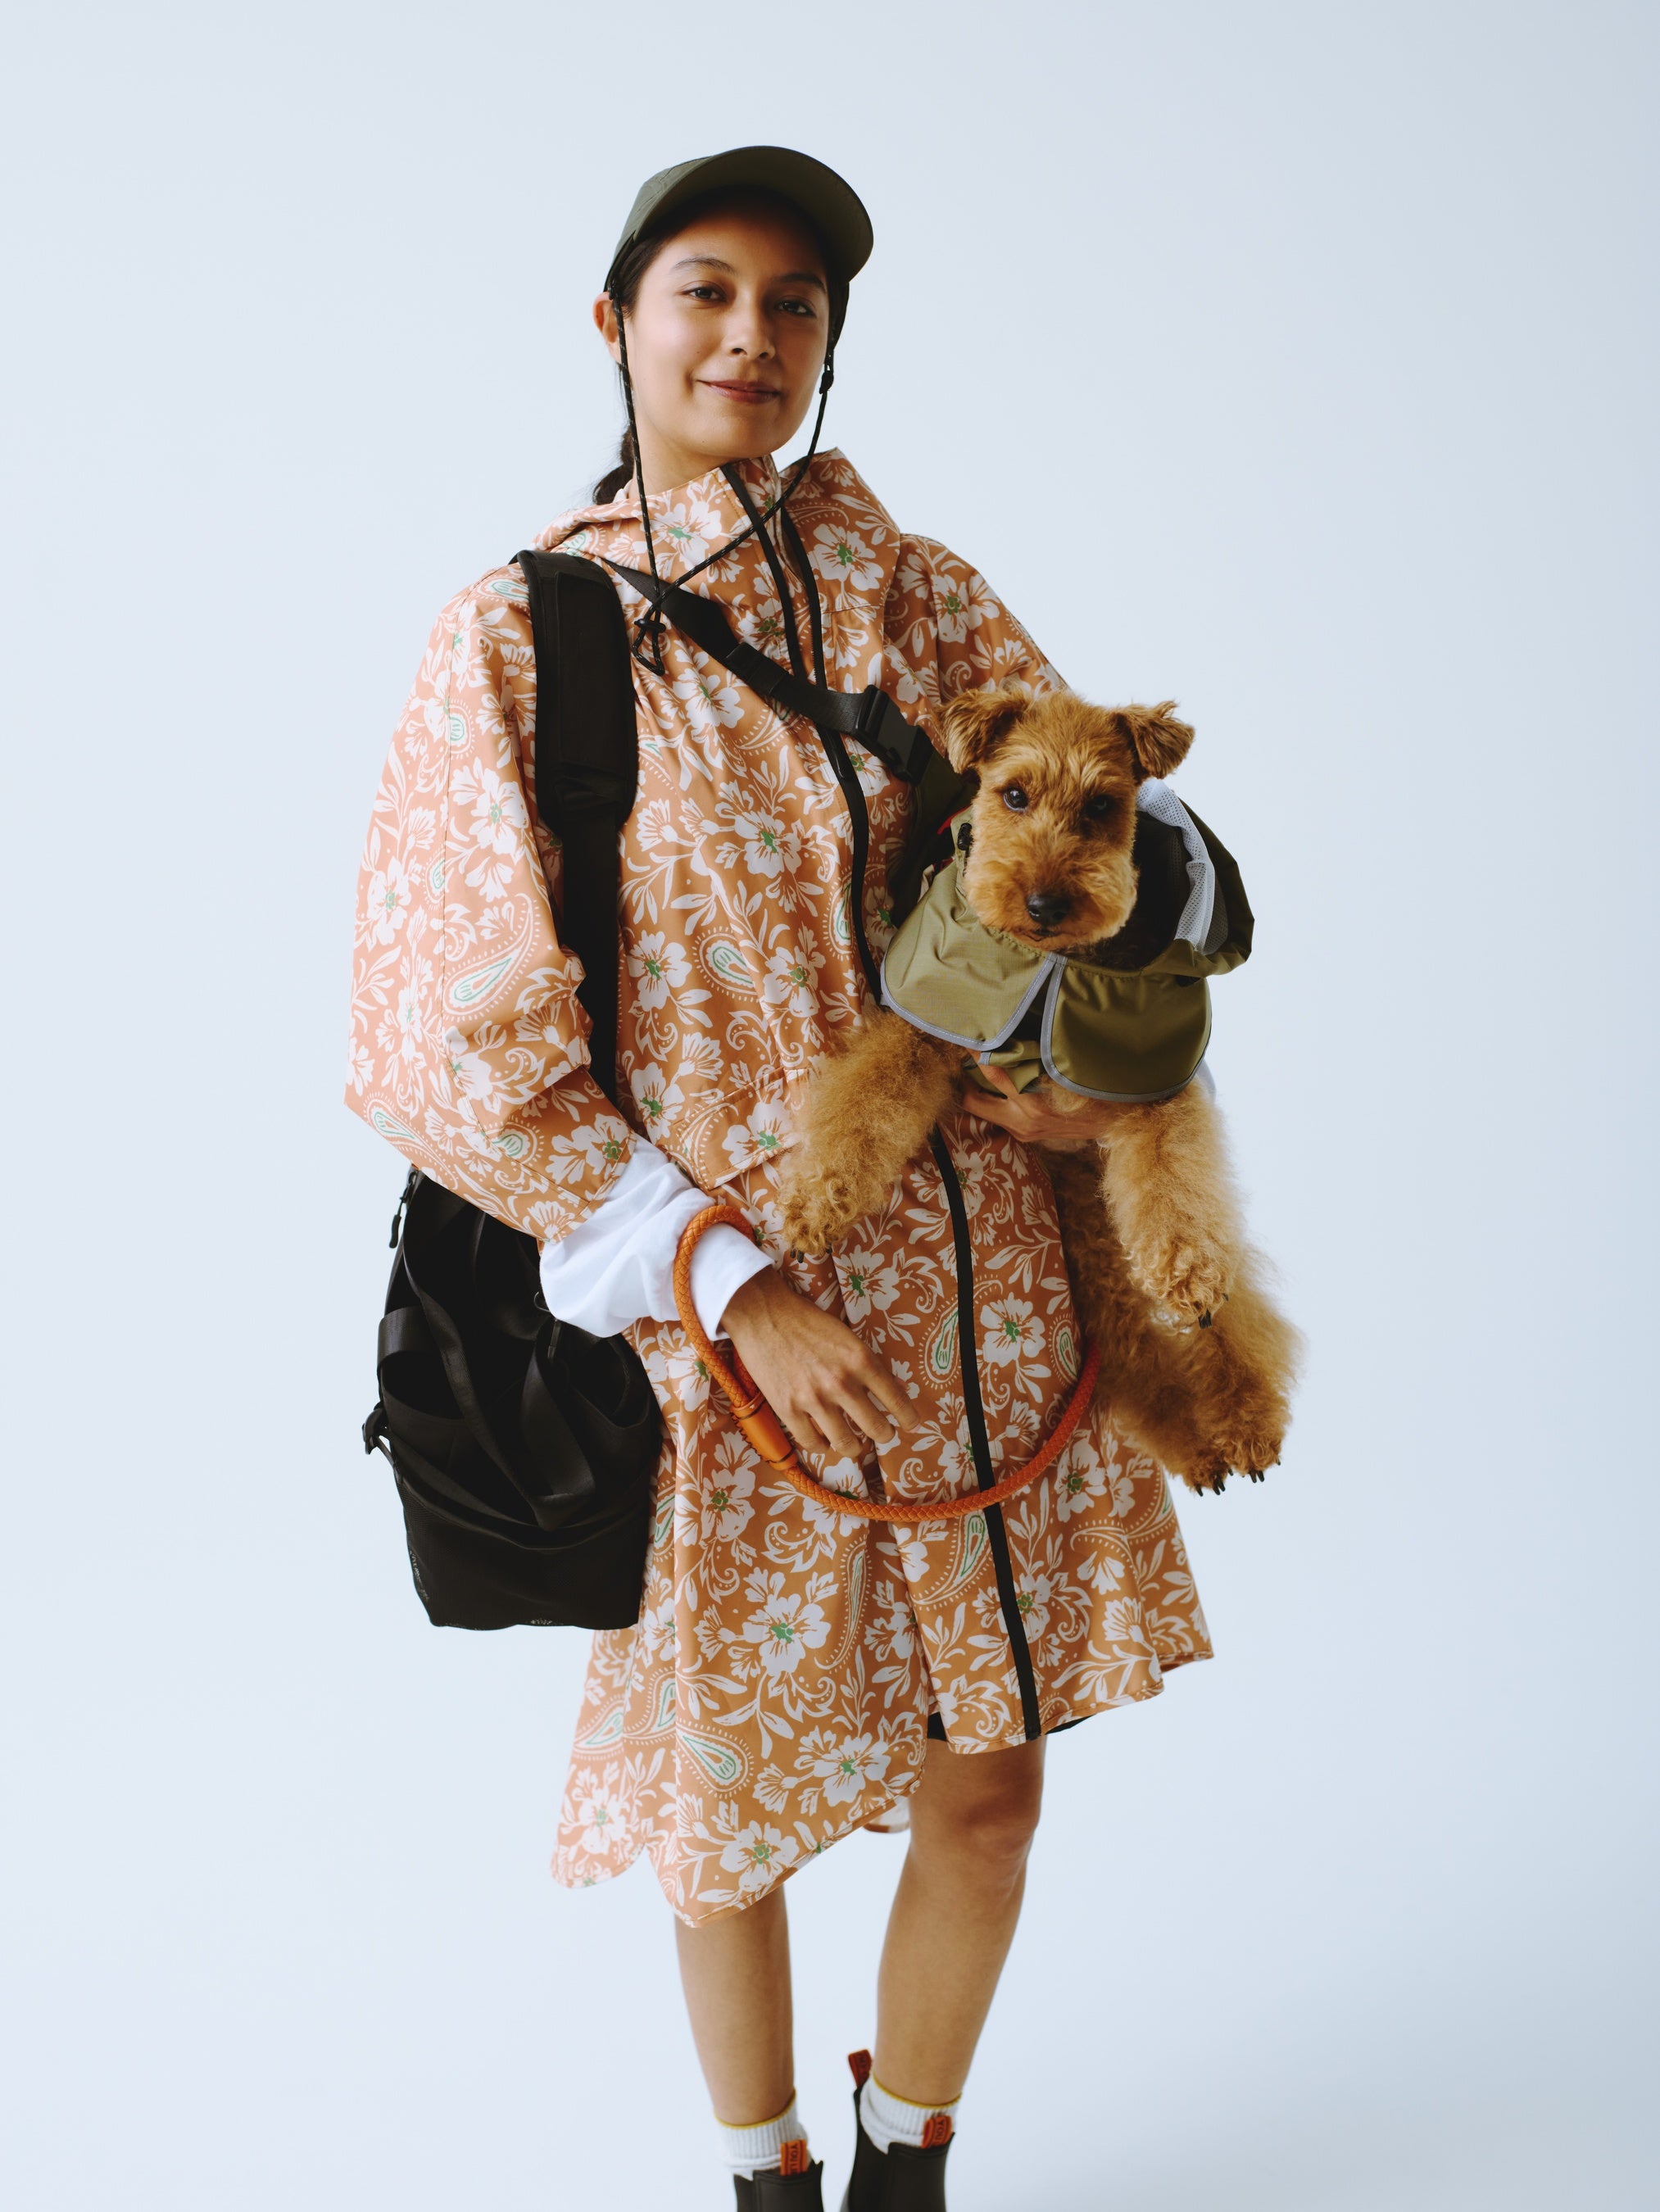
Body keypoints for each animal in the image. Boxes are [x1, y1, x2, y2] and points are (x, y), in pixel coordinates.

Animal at [775, 685, 1300, 1493]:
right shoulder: (927, 1029)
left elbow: (1177, 1197)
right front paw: (814, 1207)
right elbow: (861, 1108)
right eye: (1013, 794)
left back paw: (1243, 1426)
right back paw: (1198, 1442)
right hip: (1089, 1244)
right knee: (1130, 1343)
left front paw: (1186, 1276)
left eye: (1102, 805)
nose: (1045, 905)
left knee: (1226, 1319)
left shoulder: (1152, 1096)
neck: (1051, 968)